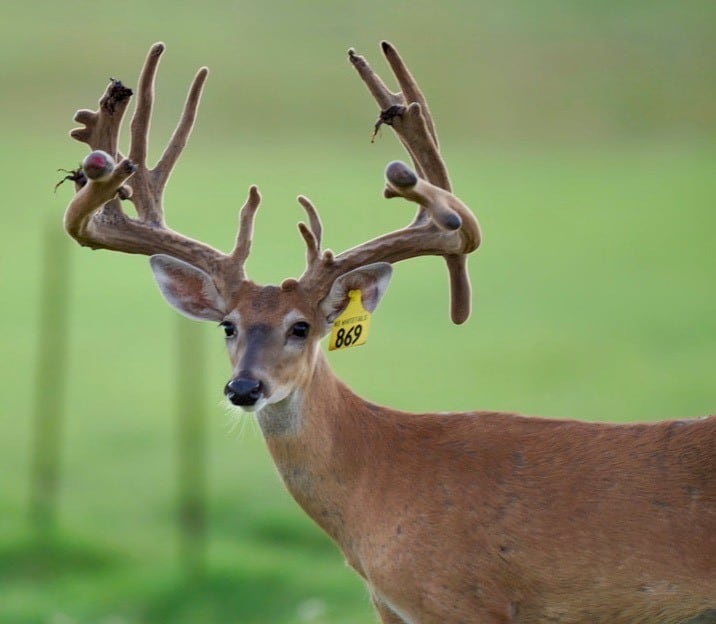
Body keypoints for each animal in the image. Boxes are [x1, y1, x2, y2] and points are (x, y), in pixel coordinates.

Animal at [61, 41, 715, 624]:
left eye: (302, 327)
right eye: (228, 325)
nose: (244, 388)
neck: (382, 484)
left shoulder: (464, 600)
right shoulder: (393, 609)